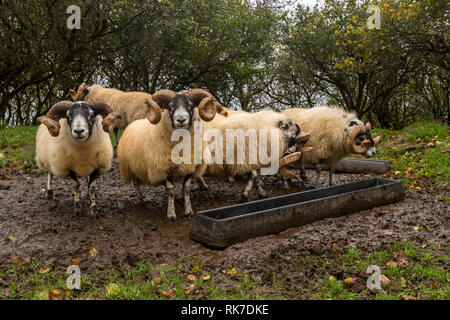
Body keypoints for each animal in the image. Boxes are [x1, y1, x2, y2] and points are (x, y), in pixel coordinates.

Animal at [118, 89, 227, 221]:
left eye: (191, 106)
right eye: (169, 107)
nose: (181, 120)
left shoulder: (190, 166)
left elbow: (187, 189)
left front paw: (188, 211)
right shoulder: (164, 167)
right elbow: (170, 192)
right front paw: (171, 214)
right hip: (131, 167)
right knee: (135, 183)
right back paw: (140, 201)